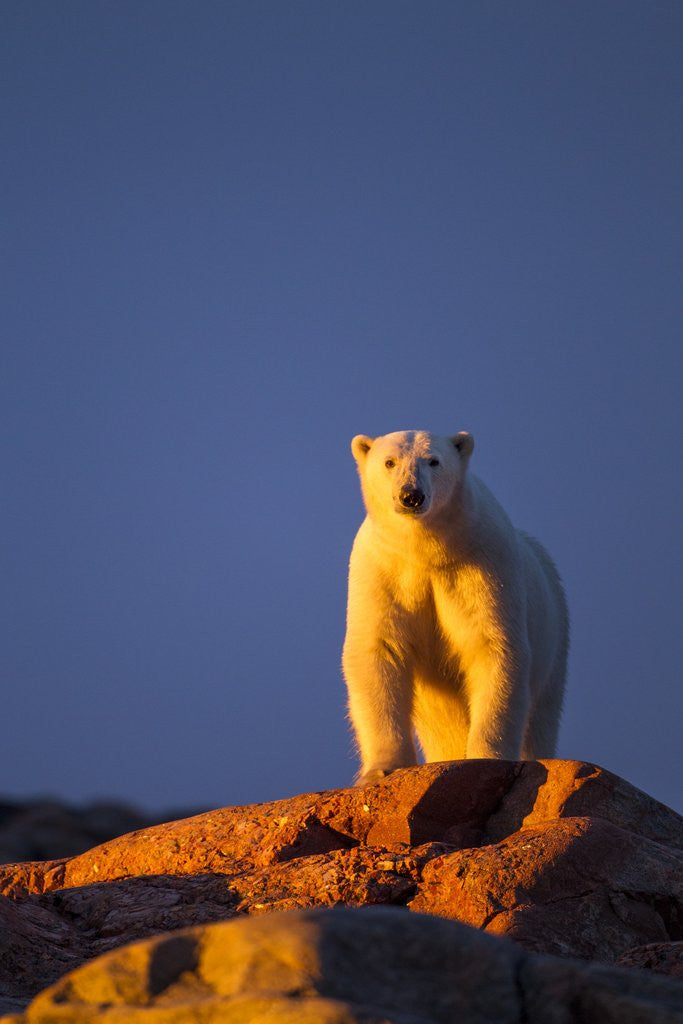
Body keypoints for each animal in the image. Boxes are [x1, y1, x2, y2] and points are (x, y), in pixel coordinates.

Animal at [342, 429, 569, 786]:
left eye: (434, 461)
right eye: (389, 462)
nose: (411, 495)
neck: (426, 550)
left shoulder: (480, 567)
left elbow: (491, 648)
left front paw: (485, 756)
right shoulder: (383, 571)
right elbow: (378, 651)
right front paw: (382, 767)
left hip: (554, 637)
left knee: (541, 716)